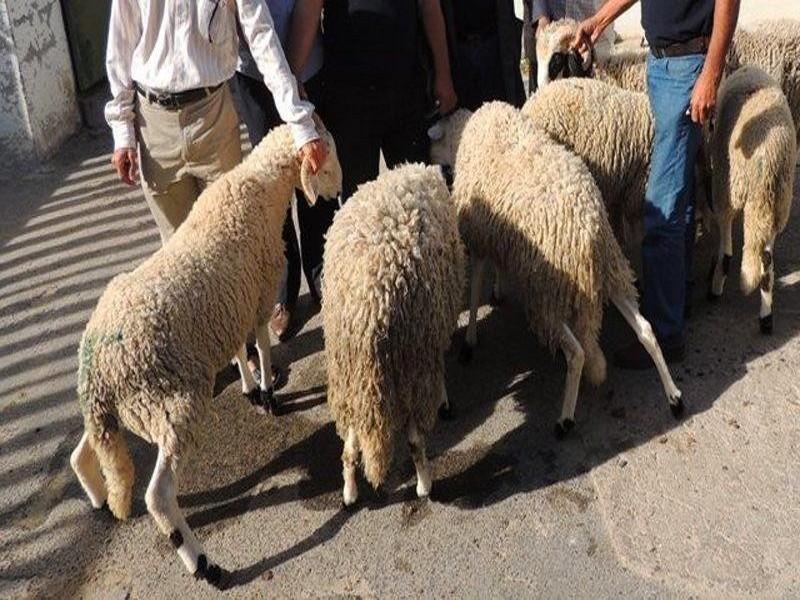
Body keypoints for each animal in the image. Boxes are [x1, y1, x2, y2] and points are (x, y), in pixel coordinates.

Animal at [70, 120, 342, 584]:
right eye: (326, 162)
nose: (339, 190)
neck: (259, 188)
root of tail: (98, 369)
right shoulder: (259, 294)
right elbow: (262, 345)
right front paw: (269, 393)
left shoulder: (229, 306)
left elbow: (237, 349)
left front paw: (251, 387)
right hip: (172, 404)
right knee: (159, 497)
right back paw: (205, 565)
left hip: (120, 410)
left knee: (81, 454)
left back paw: (102, 501)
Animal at [320, 162, 466, 504]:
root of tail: (369, 308)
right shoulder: (431, 343)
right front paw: (445, 399)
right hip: (410, 363)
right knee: (414, 440)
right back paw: (424, 486)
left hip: (350, 378)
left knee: (350, 446)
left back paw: (349, 493)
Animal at [428, 103, 684, 436]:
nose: (429, 161)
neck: (463, 134)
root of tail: (590, 234)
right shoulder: (498, 235)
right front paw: (498, 290)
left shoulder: (478, 236)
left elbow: (474, 290)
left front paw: (469, 340)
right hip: (611, 271)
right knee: (647, 331)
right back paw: (674, 397)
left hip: (548, 292)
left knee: (577, 353)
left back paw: (565, 420)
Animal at [708, 68, 792, 336]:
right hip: (777, 205)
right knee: (766, 261)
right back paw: (766, 318)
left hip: (732, 187)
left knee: (729, 245)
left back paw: (716, 286)